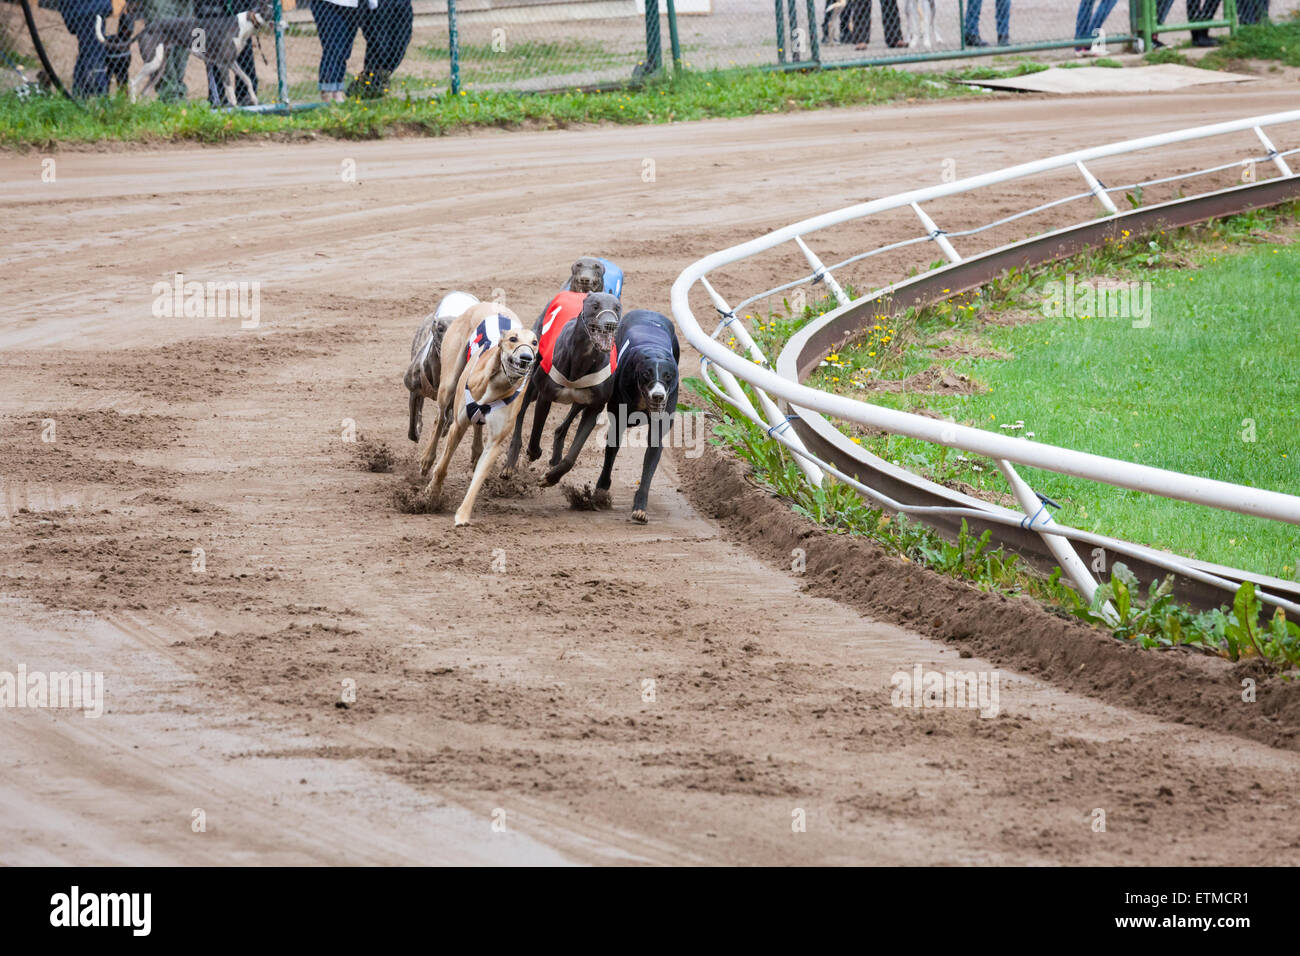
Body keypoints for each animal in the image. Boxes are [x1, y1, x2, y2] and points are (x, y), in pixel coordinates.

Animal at [109, 0, 274, 105]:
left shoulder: (231, 62)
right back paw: (132, 104)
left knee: (145, 90)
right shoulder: (222, 65)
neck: (245, 24)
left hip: (159, 66)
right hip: (153, 62)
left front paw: (254, 99)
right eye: (273, 14)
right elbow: (230, 90)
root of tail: (145, 29)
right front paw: (234, 108)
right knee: (132, 82)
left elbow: (247, 79)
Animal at [403, 291, 480, 444]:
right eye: (440, 328)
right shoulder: (413, 389)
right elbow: (413, 426)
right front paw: (418, 428)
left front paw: (444, 427)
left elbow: (447, 418)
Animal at [426, 306, 538, 528]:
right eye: (513, 339)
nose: (526, 358)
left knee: (476, 427)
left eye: (535, 343)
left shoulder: (495, 444)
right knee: (439, 419)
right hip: (448, 385)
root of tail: (488, 304)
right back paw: (426, 460)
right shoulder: (458, 425)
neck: (497, 383)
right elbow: (442, 466)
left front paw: (463, 515)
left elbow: (477, 479)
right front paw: (432, 493)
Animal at [595, 310, 681, 522]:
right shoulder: (617, 421)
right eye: (646, 374)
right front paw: (601, 490)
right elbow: (611, 450)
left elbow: (650, 464)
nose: (658, 396)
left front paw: (640, 507)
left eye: (668, 376)